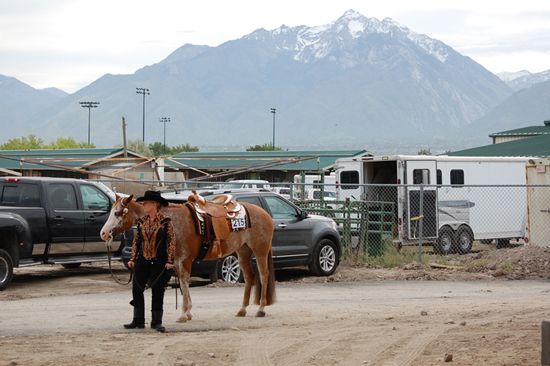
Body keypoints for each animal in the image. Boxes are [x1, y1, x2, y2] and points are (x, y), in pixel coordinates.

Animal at [100, 193, 276, 322]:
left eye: (117, 213)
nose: (103, 233)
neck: (173, 222)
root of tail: (266, 214)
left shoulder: (184, 260)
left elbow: (184, 283)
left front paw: (184, 314)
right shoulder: (176, 261)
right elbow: (182, 284)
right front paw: (188, 312)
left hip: (260, 250)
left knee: (263, 275)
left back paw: (261, 309)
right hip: (243, 251)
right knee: (249, 276)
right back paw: (242, 309)